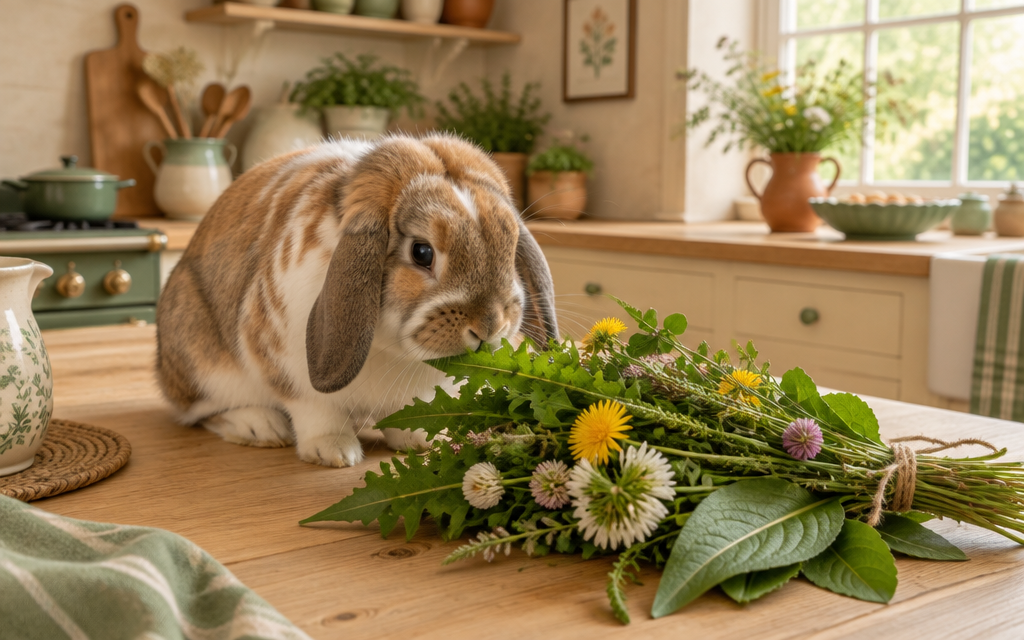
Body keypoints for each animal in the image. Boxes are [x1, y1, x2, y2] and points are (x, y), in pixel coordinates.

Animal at [155, 134, 559, 467]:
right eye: (422, 252)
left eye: (510, 248)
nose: (489, 326)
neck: (392, 350)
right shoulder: (291, 373)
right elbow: (317, 415)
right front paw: (334, 452)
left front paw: (421, 441)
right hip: (203, 361)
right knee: (202, 412)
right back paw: (262, 427)